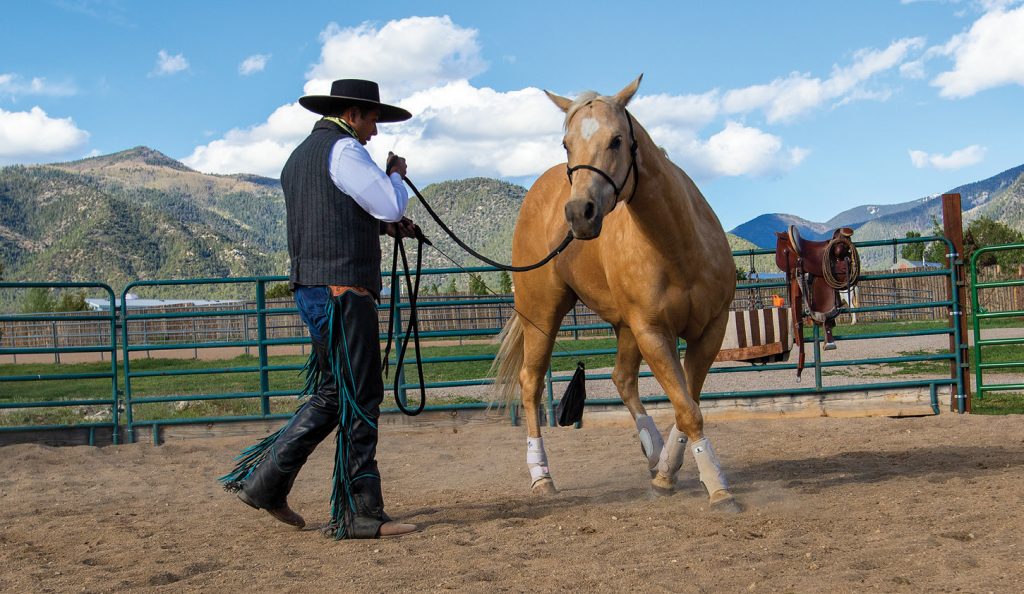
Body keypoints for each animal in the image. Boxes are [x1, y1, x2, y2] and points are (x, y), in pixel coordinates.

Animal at [492, 76, 740, 511]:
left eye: (617, 140)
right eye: (566, 143)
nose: (579, 213)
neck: (679, 247)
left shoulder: (710, 329)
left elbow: (687, 404)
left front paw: (667, 473)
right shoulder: (652, 332)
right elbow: (687, 409)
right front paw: (717, 487)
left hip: (623, 327)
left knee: (622, 378)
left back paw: (654, 453)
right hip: (541, 314)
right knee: (531, 382)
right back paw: (542, 476)